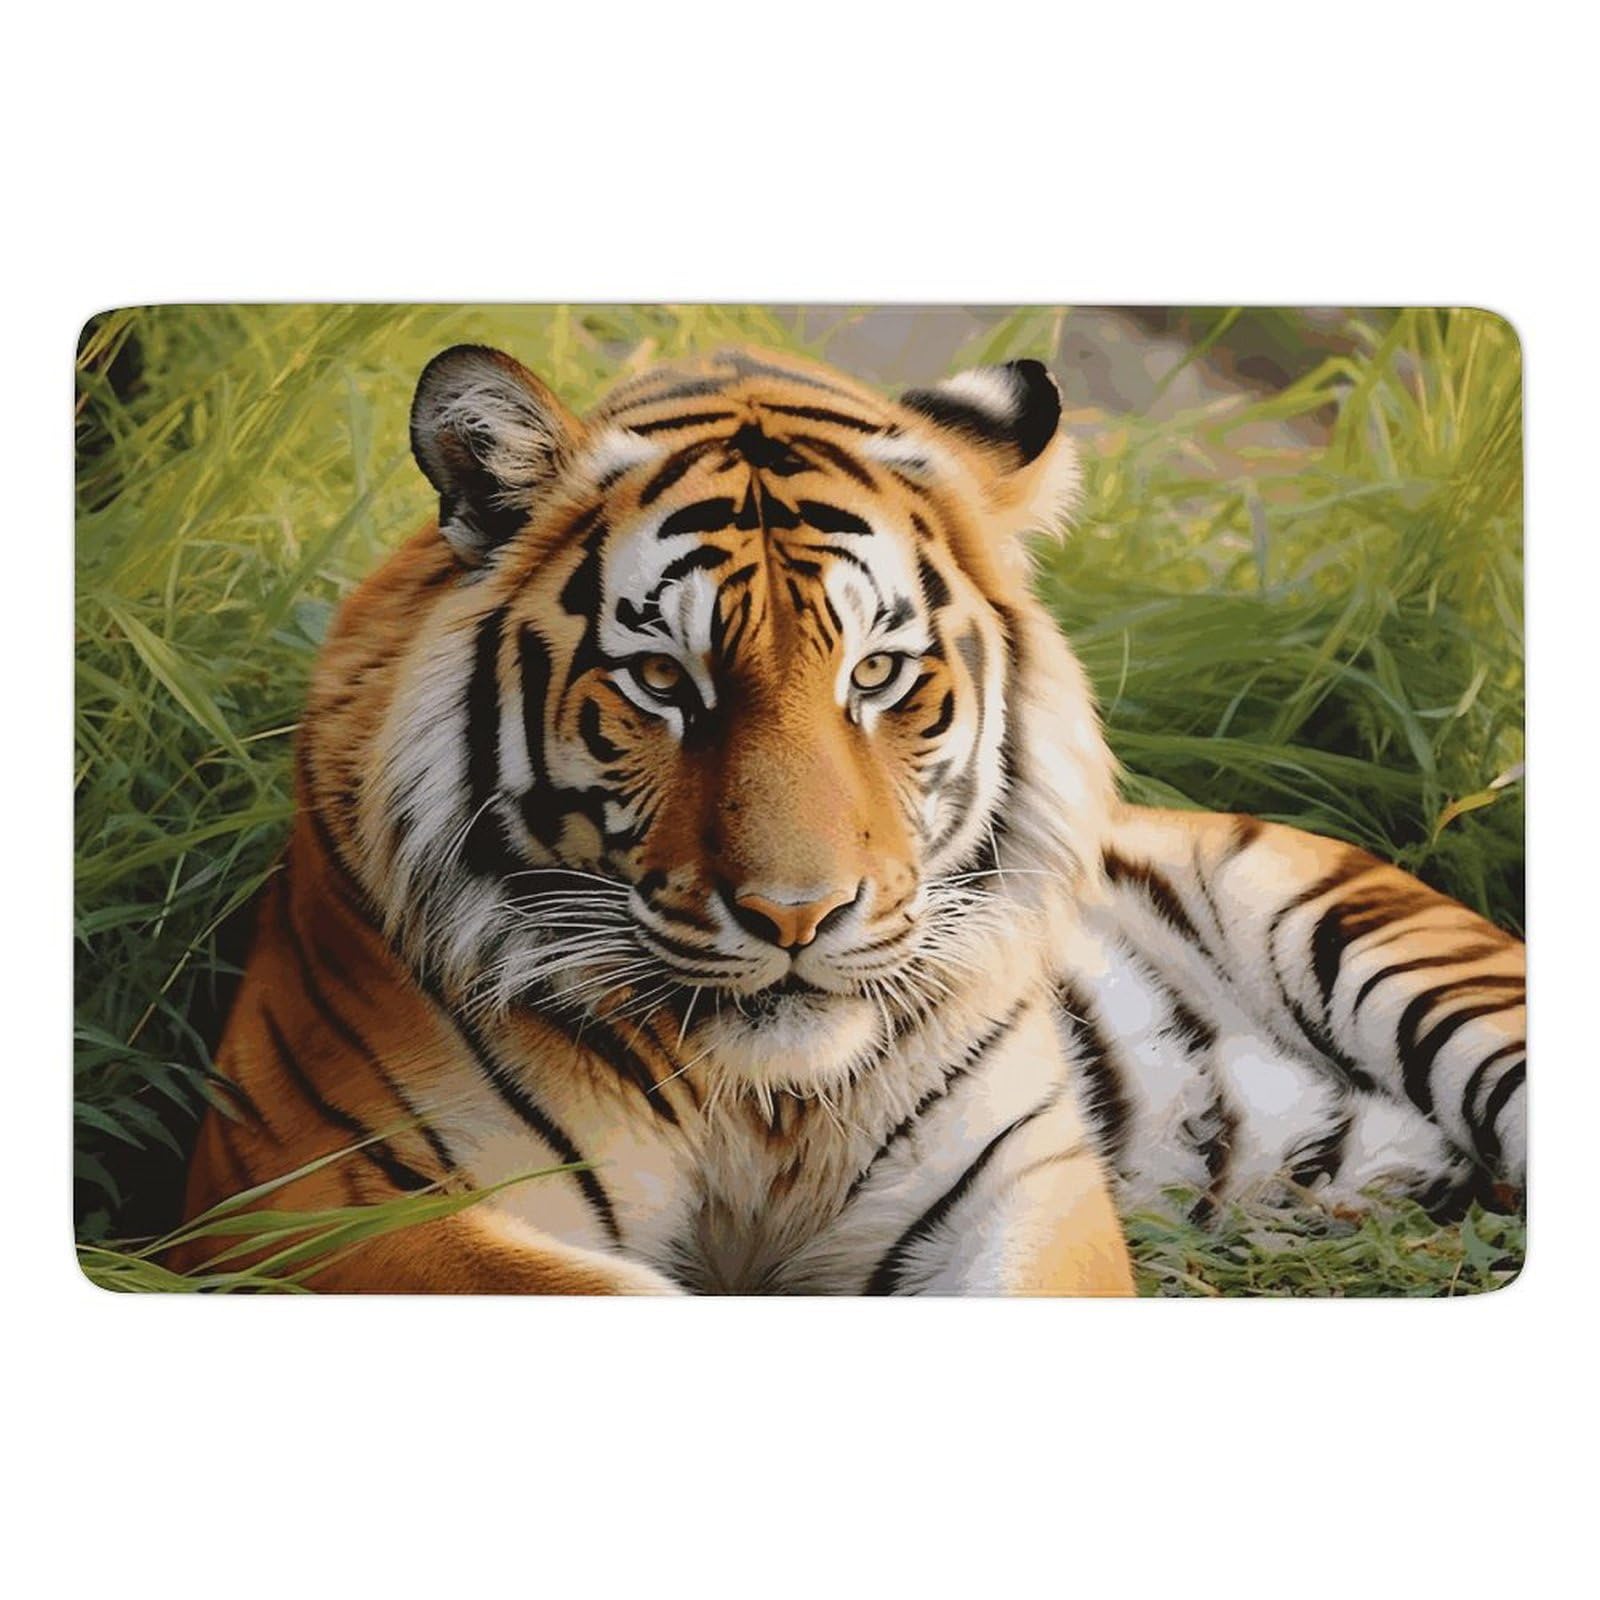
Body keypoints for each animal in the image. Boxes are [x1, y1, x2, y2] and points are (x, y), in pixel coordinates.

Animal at [176, 341, 1526, 1294]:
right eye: (661, 679)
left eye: (875, 674)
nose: (797, 916)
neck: (758, 1109)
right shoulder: (328, 1197)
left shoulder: (1022, 1190)